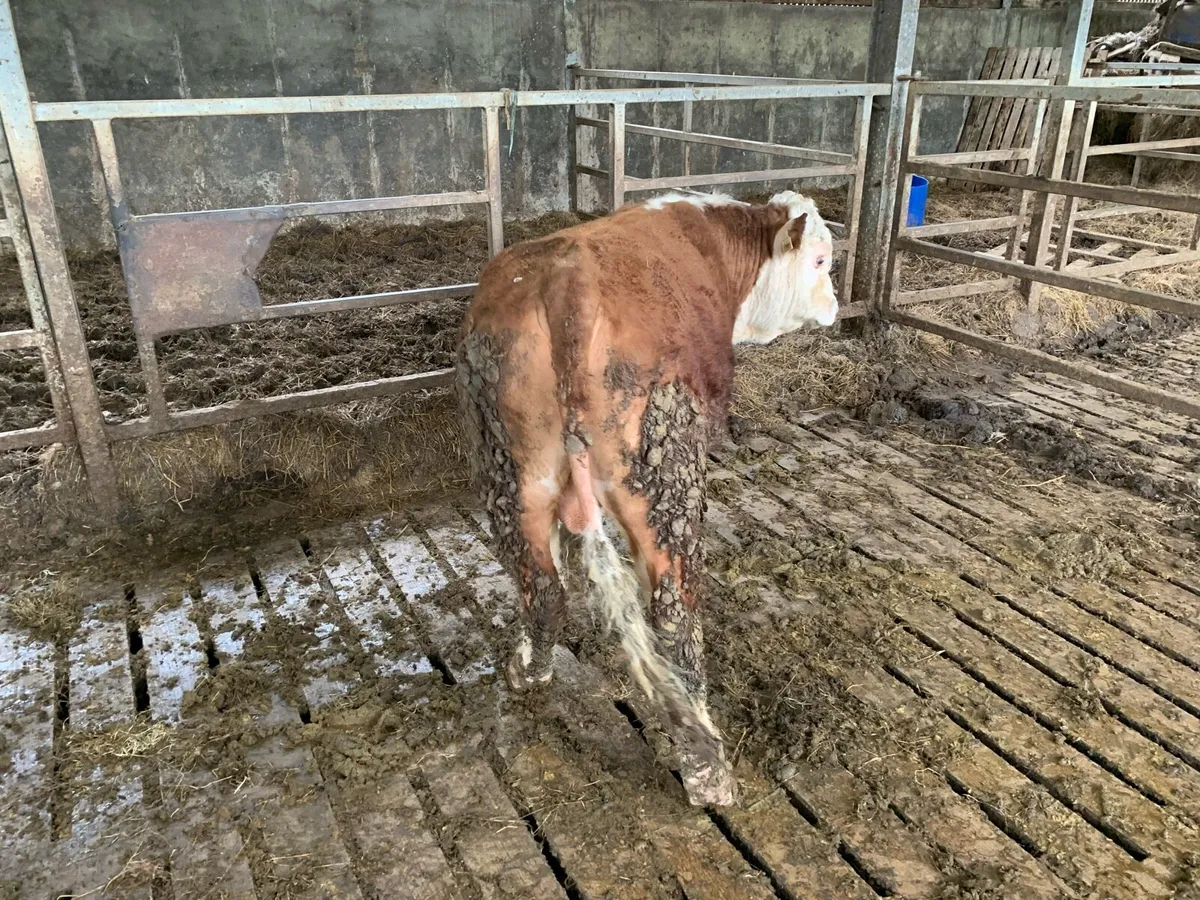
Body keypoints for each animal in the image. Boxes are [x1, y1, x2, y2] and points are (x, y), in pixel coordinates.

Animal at [454, 190, 837, 807]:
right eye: (822, 260)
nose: (834, 306)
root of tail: (568, 281)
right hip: (664, 482)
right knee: (674, 612)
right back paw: (708, 771)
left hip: (511, 470)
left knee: (543, 585)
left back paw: (529, 672)